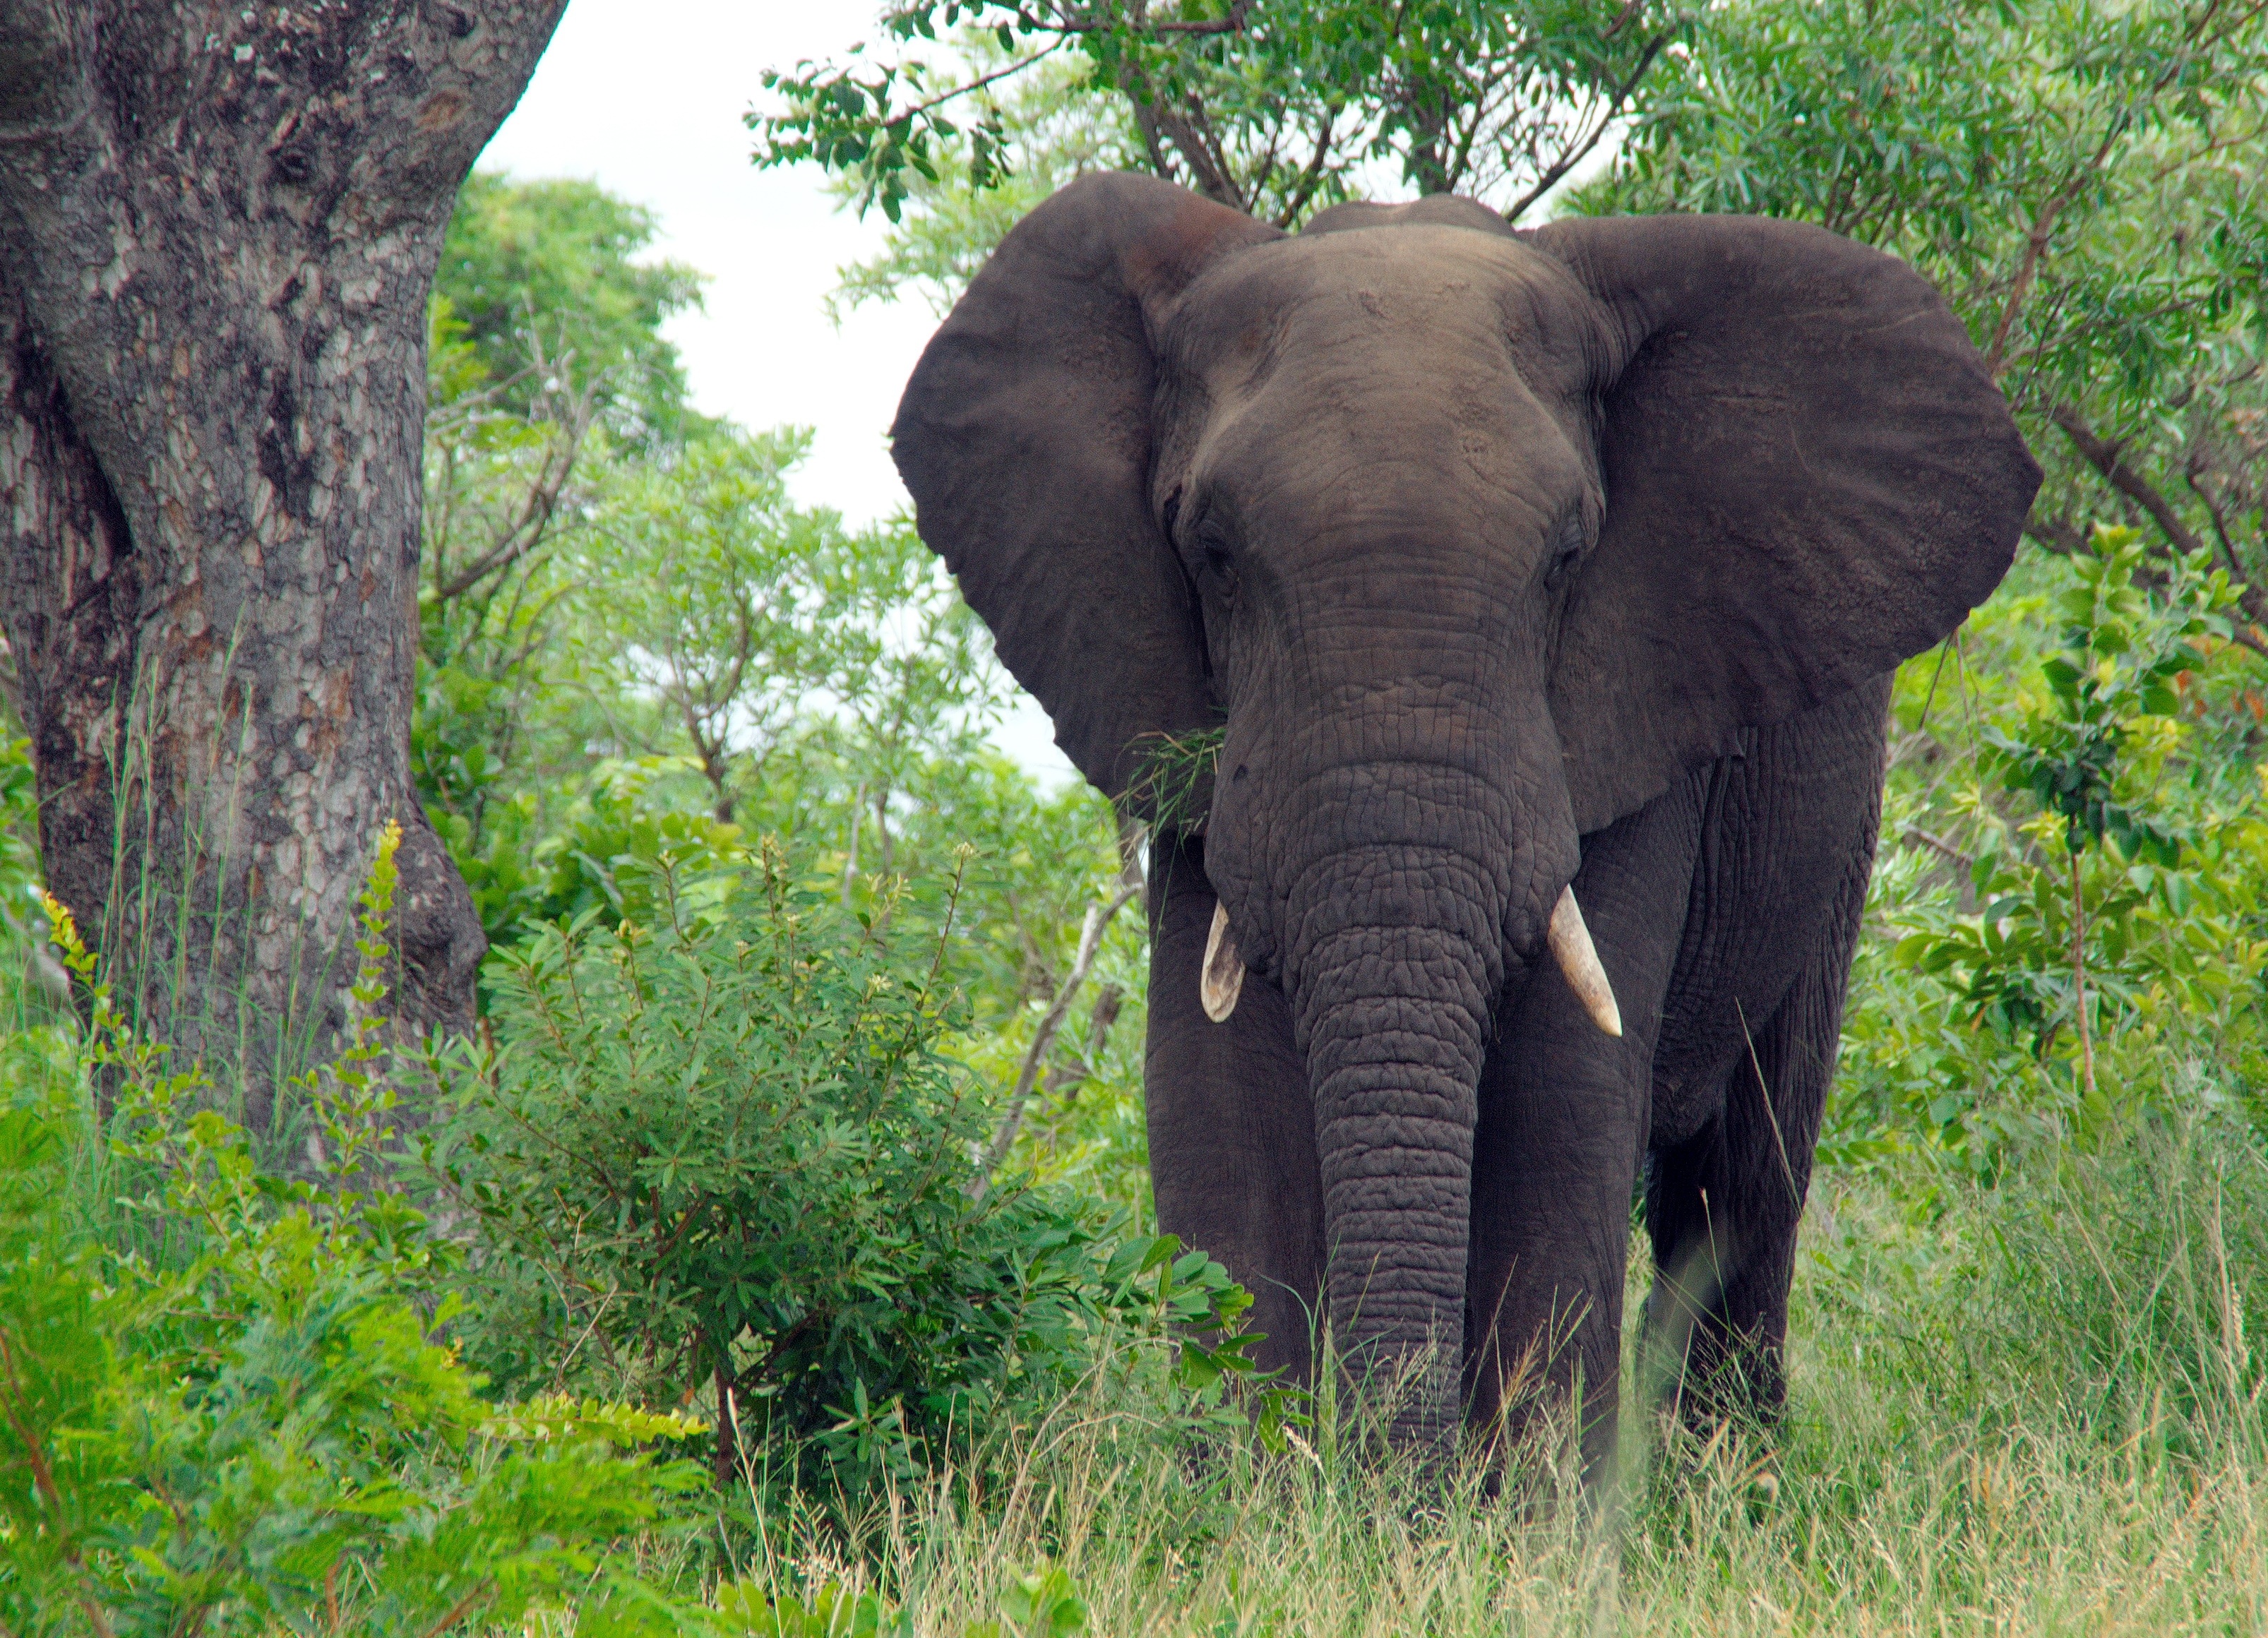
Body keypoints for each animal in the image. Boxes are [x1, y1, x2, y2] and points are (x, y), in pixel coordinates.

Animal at [884, 176, 2041, 1452]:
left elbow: (1560, 1101)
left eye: (1569, 555)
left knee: (1743, 1176)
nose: (1384, 1476)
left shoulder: (1634, 699)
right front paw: (1267, 1499)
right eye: (1211, 552)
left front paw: (1530, 1512)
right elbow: (1219, 1110)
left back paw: (1725, 1480)